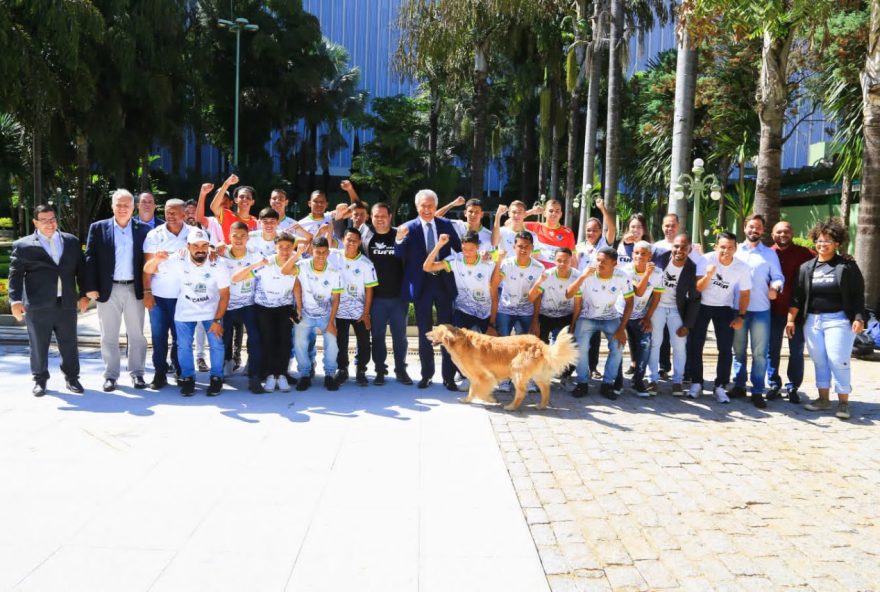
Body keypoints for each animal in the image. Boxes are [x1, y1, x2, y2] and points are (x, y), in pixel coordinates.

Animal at [424, 324, 576, 412]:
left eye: (435, 330)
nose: (425, 334)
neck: (462, 342)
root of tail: (540, 343)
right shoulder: (475, 378)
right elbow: (472, 391)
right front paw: (466, 400)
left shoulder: (484, 376)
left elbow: (479, 392)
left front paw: (491, 400)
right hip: (537, 375)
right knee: (546, 389)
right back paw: (541, 405)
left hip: (516, 370)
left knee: (522, 392)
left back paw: (511, 407)